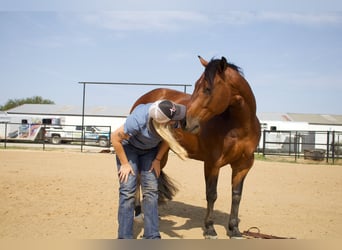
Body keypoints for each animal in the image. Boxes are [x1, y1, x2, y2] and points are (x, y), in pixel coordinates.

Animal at [130, 55, 260, 239]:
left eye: (207, 88)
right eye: (196, 86)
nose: (184, 122)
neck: (238, 127)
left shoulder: (243, 166)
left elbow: (236, 196)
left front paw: (234, 229)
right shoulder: (212, 164)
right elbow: (211, 194)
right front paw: (210, 228)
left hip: (161, 154)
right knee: (139, 178)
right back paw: (138, 212)